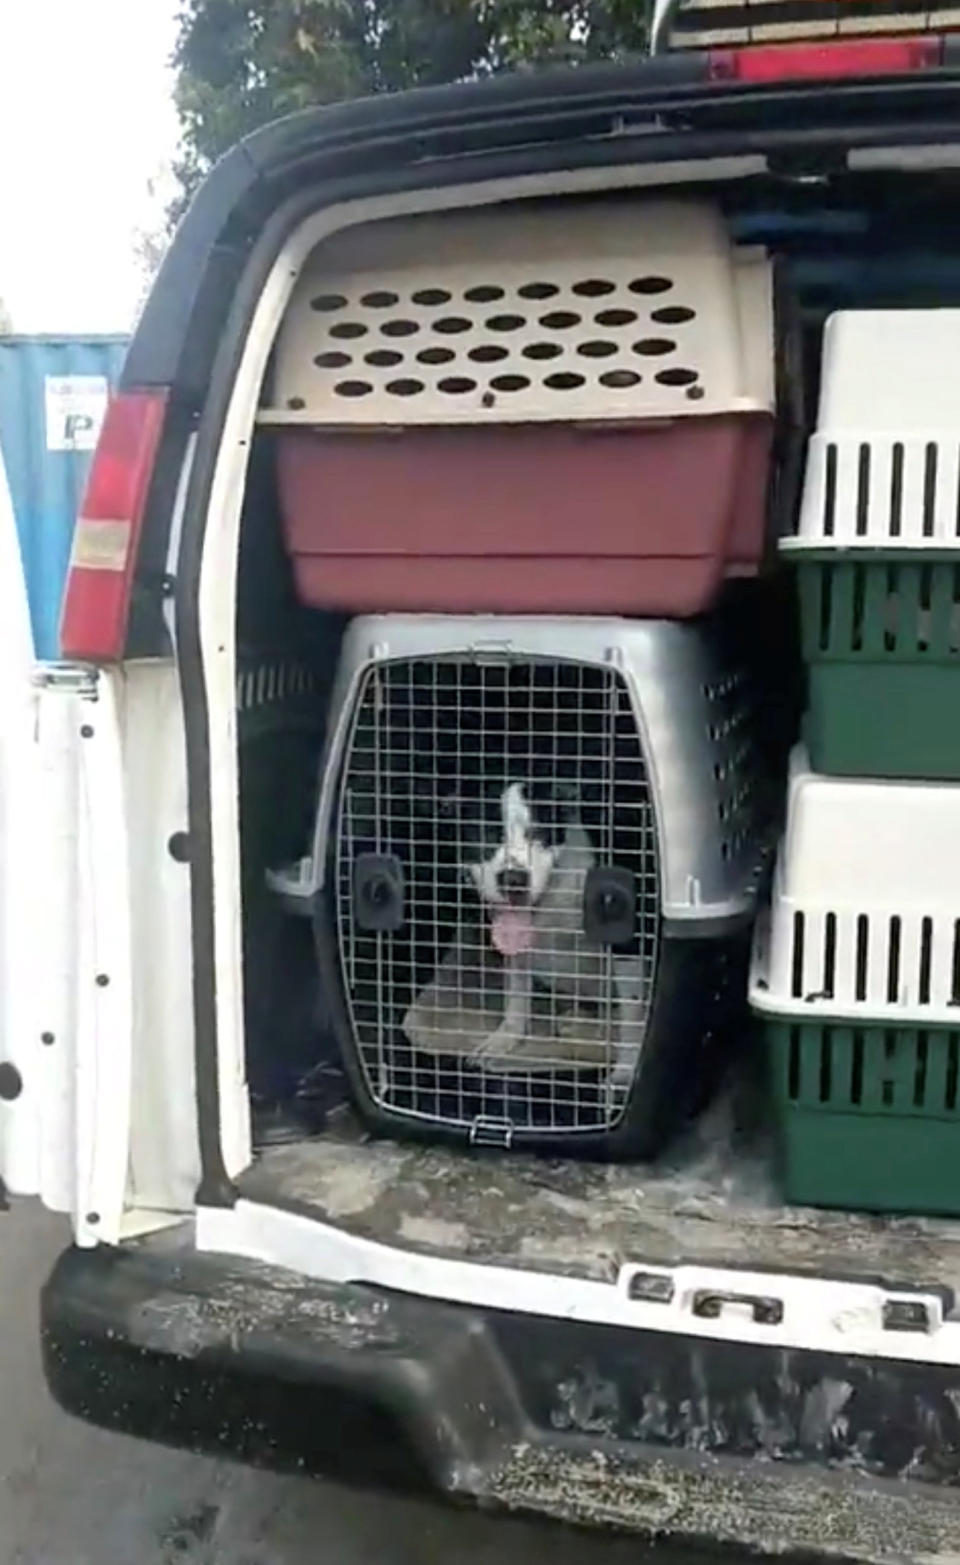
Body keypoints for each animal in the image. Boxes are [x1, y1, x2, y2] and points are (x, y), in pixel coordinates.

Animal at [335, 654, 657, 1133]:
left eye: (539, 832)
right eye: (484, 834)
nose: (513, 879)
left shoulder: (627, 945)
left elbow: (636, 1017)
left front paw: (623, 1073)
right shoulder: (512, 943)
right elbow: (516, 996)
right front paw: (505, 1039)